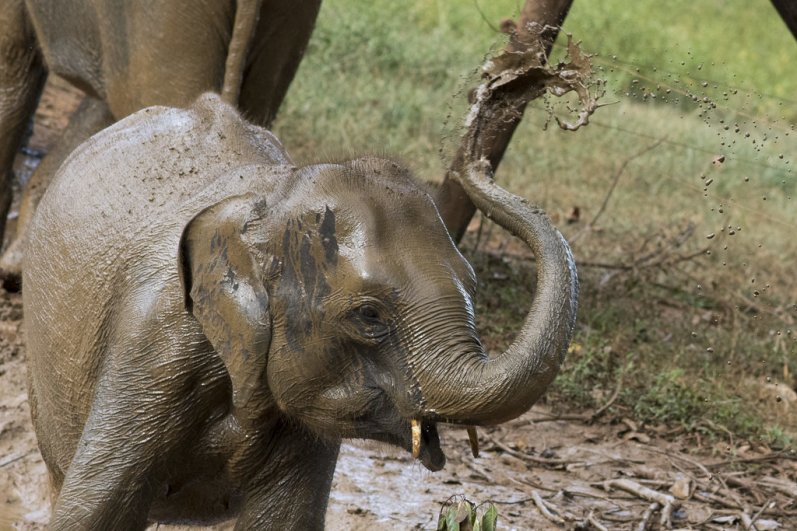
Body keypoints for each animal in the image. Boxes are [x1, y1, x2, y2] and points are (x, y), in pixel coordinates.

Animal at [23, 93, 578, 529]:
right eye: (369, 315)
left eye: (473, 284)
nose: (479, 150)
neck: (269, 203)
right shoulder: (155, 347)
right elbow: (92, 511)